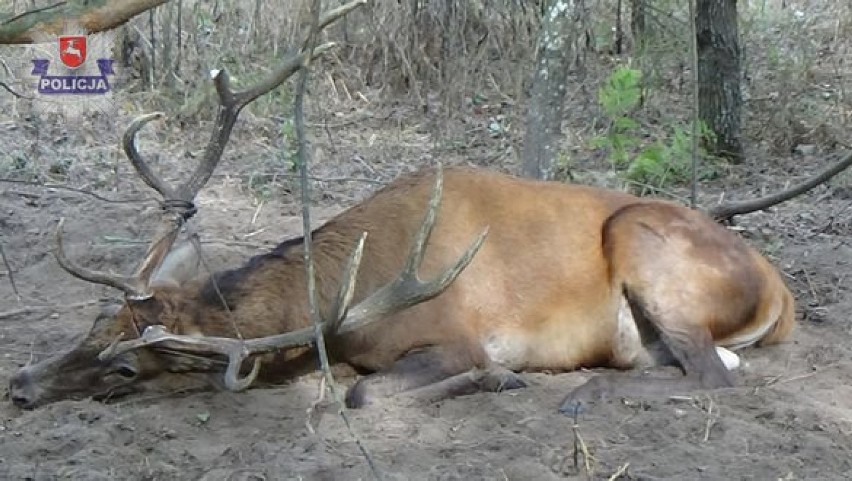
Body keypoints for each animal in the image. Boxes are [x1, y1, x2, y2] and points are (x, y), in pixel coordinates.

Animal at [6, 0, 852, 412]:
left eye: (127, 368)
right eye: (93, 326)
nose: (20, 384)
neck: (342, 301)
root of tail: (781, 291)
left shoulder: (457, 335)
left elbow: (362, 389)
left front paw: (500, 382)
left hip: (645, 239)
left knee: (713, 374)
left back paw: (584, 393)